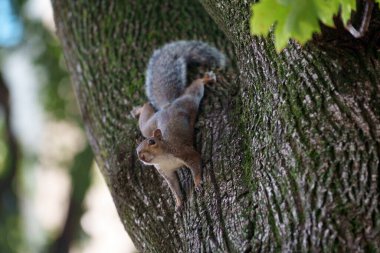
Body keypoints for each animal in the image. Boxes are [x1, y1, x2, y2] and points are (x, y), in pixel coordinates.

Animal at [134, 40, 226, 211]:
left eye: (152, 142)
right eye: (136, 151)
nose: (141, 156)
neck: (163, 157)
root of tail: (167, 106)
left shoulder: (184, 152)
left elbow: (196, 163)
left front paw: (198, 183)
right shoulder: (166, 172)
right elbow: (174, 187)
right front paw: (178, 202)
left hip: (190, 100)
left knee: (195, 87)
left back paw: (207, 78)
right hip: (148, 127)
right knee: (146, 109)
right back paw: (138, 110)